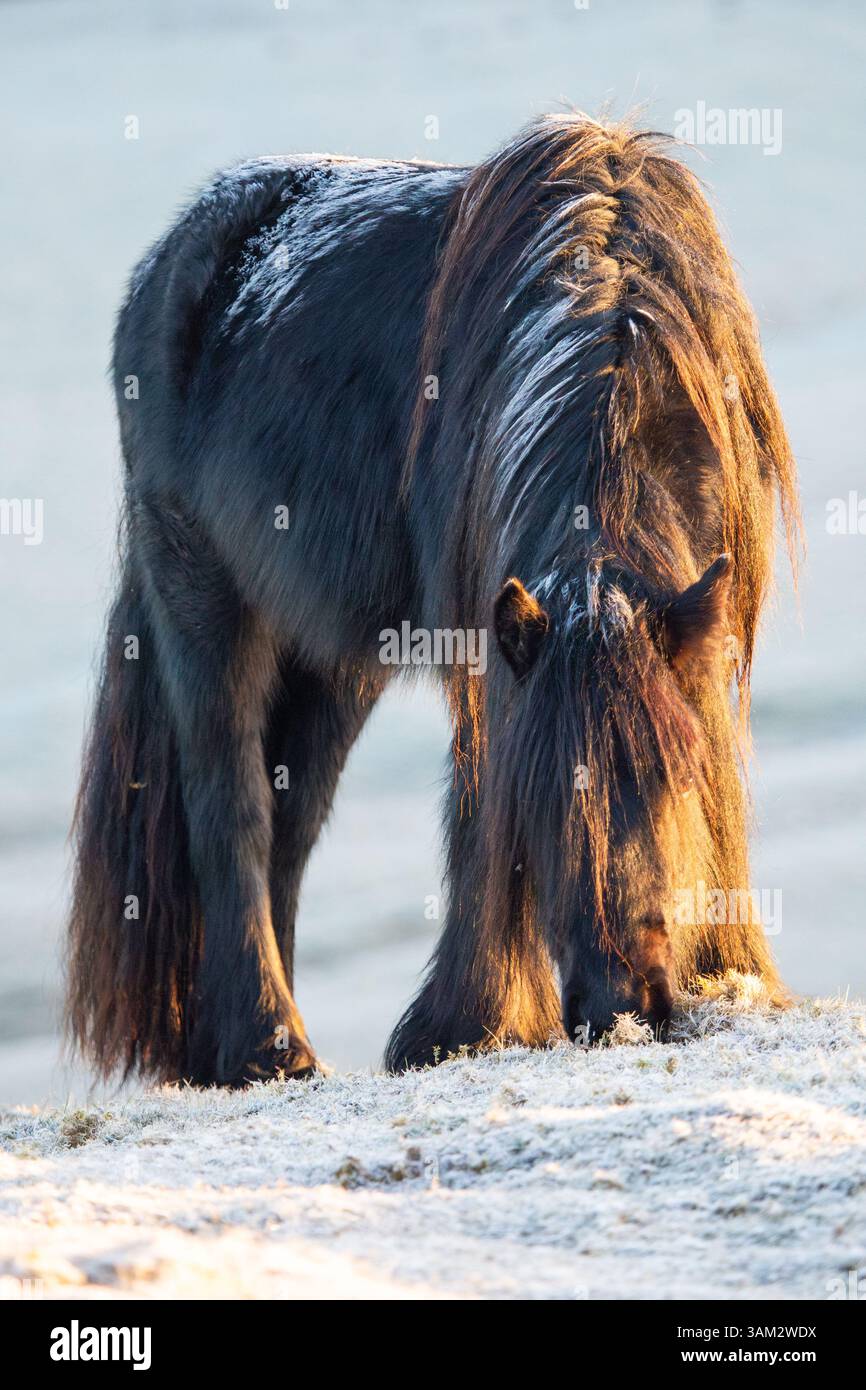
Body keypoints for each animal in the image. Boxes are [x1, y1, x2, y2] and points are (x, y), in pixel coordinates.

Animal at [66, 113, 799, 1087]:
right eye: (542, 797)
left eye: (666, 779)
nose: (620, 1010)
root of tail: (172, 259)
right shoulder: (488, 648)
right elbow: (474, 815)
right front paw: (463, 1026)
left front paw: (732, 980)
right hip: (200, 597)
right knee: (233, 809)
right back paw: (269, 1047)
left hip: (329, 661)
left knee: (289, 825)